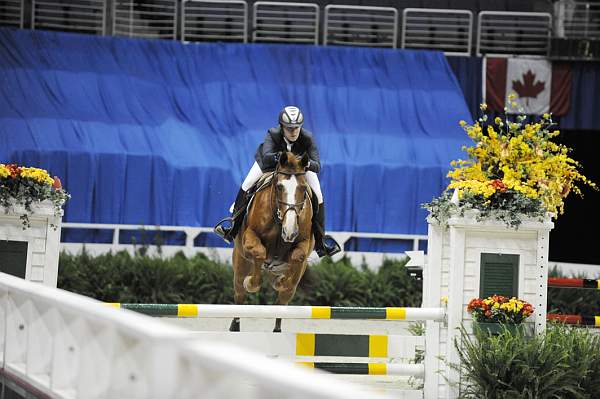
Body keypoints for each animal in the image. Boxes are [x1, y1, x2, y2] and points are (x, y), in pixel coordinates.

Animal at [230, 152, 314, 332]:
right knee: (239, 294)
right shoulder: (249, 238)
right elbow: (259, 252)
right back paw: (235, 326)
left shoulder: (304, 243)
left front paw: (280, 281)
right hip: (240, 264)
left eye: (303, 189)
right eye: (279, 187)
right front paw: (251, 283)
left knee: (283, 300)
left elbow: (297, 256)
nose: (290, 231)